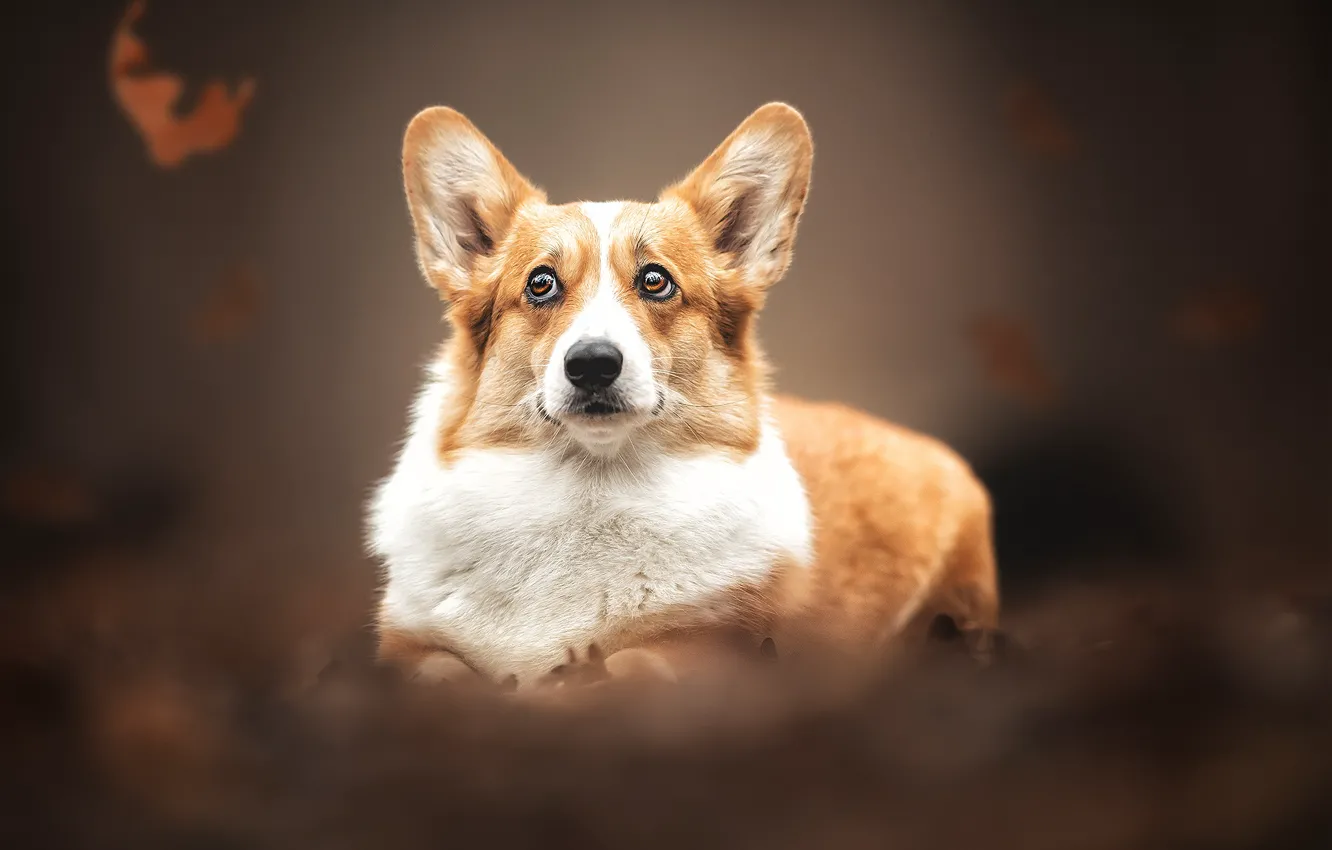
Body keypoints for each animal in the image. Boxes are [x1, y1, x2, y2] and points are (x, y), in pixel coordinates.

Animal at [367, 103, 1001, 687]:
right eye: (540, 283)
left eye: (656, 280)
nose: (592, 365)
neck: (588, 489)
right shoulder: (408, 641)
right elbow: (438, 672)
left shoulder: (713, 641)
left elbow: (636, 661)